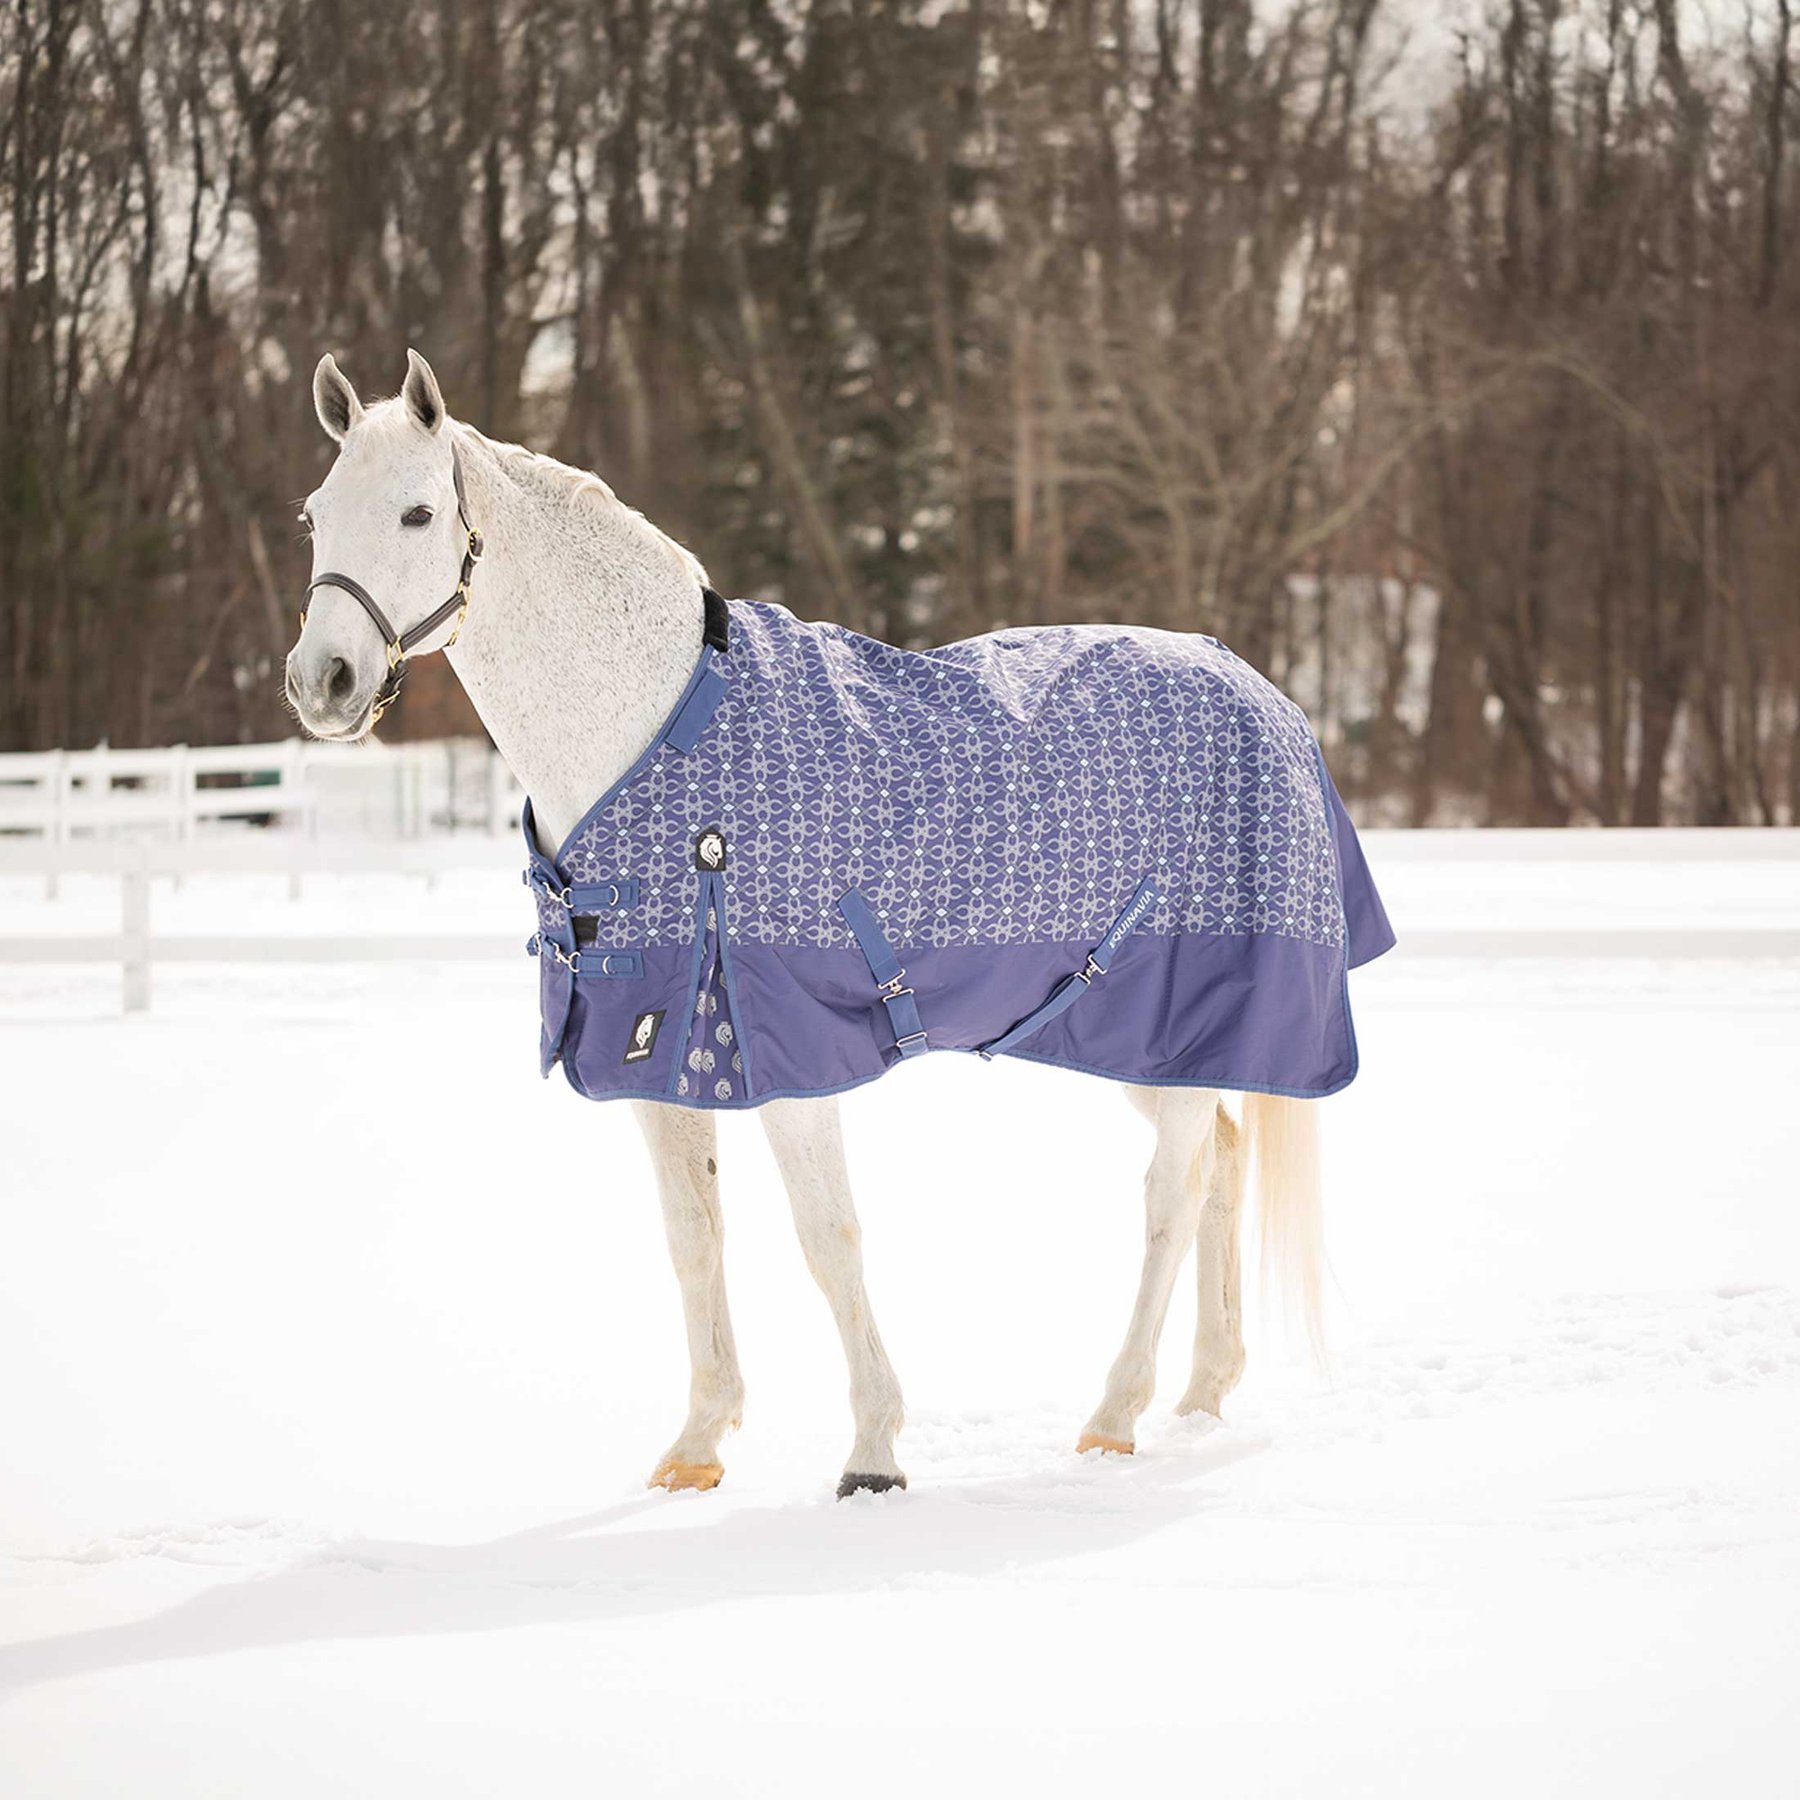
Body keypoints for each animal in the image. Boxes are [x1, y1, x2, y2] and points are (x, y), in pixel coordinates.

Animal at [284, 349, 1391, 1498]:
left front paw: (872, 1456)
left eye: (417, 512)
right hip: (1149, 1040)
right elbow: (693, 1237)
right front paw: (696, 1449)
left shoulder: (787, 1051)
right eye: (314, 515)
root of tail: (1261, 689)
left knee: (1171, 1195)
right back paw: (1204, 1392)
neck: (664, 734)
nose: (322, 683)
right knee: (1223, 1160)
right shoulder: (660, 1050)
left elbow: (828, 1238)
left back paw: (1115, 1417)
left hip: (1167, 1017)